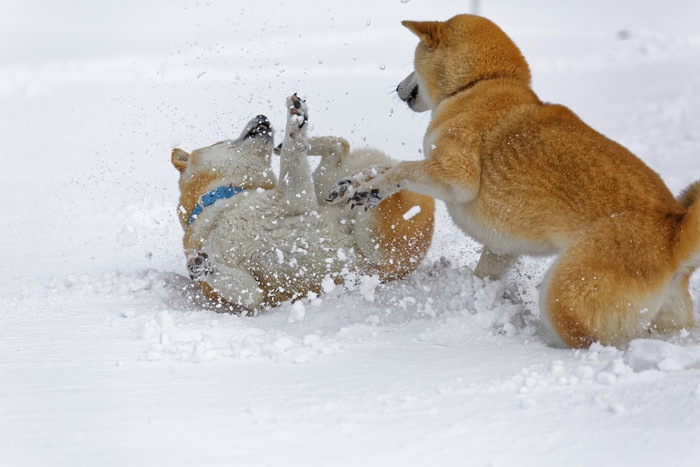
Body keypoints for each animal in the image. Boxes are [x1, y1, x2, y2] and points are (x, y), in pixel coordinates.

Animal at [171, 94, 432, 314]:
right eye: (221, 141)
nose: (263, 117)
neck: (220, 202)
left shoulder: (294, 199)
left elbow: (292, 159)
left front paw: (294, 126)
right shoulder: (253, 293)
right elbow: (247, 291)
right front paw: (202, 266)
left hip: (358, 219)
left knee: (358, 157)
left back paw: (352, 177)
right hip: (368, 232)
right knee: (349, 154)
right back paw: (353, 184)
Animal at [334, 13, 700, 348]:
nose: (397, 88)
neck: (479, 84)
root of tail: (673, 229)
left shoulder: (457, 177)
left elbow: (404, 170)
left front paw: (370, 190)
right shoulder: (500, 248)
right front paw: (352, 183)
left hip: (564, 292)